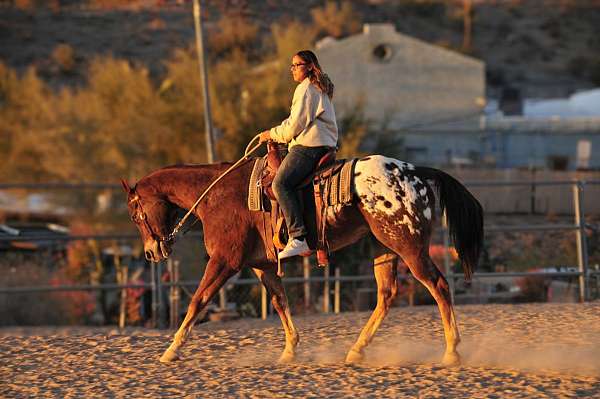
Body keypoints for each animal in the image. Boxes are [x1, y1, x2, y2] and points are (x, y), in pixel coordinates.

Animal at [120, 155, 482, 368]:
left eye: (135, 214)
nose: (152, 252)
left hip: (410, 248)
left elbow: (198, 300)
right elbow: (280, 302)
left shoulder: (225, 260)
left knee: (438, 286)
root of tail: (416, 172)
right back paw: (356, 351)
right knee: (386, 295)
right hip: (385, 249)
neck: (216, 195)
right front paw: (290, 350)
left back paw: (452, 351)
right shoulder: (262, 265)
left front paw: (171, 349)